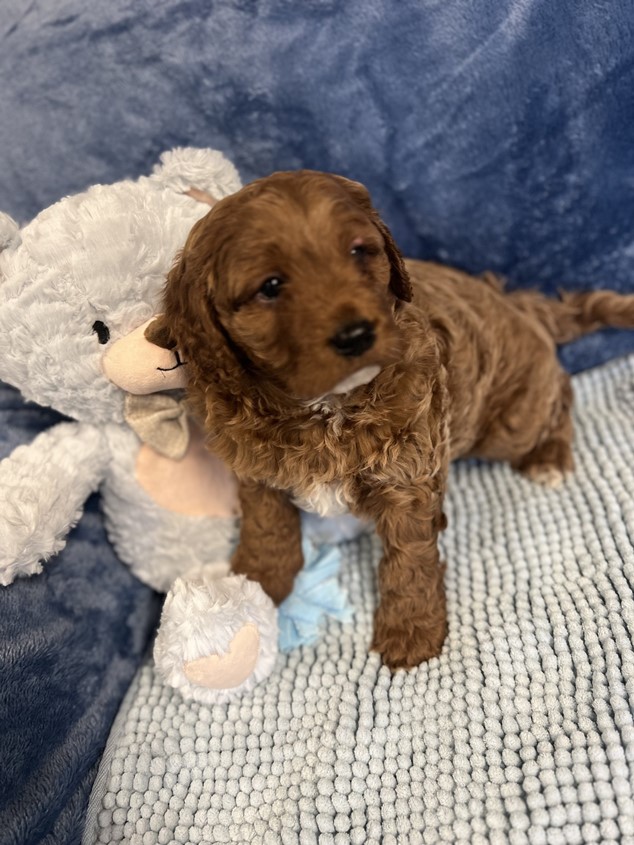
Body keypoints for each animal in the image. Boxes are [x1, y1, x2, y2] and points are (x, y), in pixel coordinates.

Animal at [147, 171, 632, 668]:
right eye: (270, 285)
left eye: (359, 252)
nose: (356, 334)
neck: (325, 408)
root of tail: (519, 306)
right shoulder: (255, 469)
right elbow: (267, 528)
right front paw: (256, 582)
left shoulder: (409, 475)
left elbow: (409, 559)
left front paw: (412, 632)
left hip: (508, 425)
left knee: (561, 391)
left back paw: (549, 456)